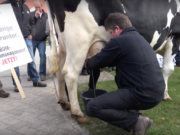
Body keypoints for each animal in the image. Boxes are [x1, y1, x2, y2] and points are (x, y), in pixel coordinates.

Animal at [44, 0, 180, 123]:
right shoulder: (174, 36)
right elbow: (168, 69)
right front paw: (165, 95)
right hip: (79, 41)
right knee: (70, 73)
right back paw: (78, 113)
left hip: (62, 44)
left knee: (60, 71)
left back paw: (64, 102)